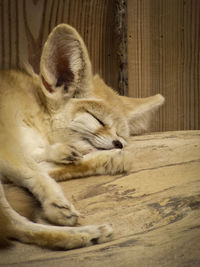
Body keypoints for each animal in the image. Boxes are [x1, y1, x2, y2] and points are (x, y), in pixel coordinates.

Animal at [0, 24, 164, 250]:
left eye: (120, 134)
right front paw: (55, 200)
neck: (37, 111)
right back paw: (81, 232)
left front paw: (104, 159)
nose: (119, 144)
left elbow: (45, 167)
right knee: (11, 224)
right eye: (98, 120)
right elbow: (36, 172)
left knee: (15, 225)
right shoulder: (7, 145)